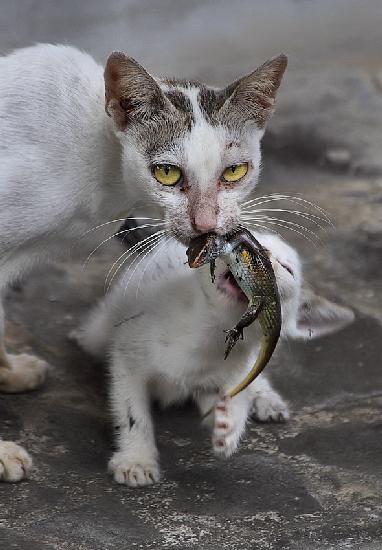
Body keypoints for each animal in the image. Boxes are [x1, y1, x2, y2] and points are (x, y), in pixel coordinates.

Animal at [75, 233, 356, 488]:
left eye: (287, 268)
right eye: (255, 238)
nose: (258, 251)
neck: (209, 332)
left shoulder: (235, 368)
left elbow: (236, 391)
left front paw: (229, 424)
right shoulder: (128, 354)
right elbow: (132, 411)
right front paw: (136, 460)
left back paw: (265, 398)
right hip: (100, 332)